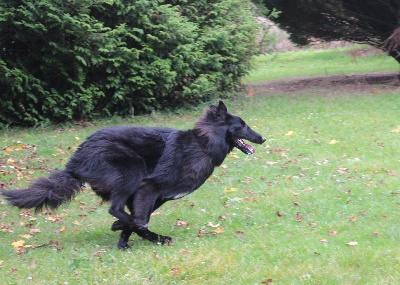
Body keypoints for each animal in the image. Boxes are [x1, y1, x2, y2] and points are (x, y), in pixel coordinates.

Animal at [3, 101, 266, 247]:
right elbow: (138, 219)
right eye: (242, 125)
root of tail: (75, 162)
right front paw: (150, 236)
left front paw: (123, 243)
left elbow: (135, 220)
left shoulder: (152, 196)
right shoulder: (148, 188)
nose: (263, 138)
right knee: (115, 208)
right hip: (132, 169)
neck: (203, 144)